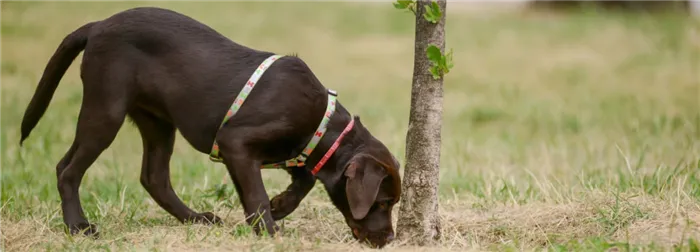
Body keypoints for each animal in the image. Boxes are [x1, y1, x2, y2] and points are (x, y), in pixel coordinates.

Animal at [20, 6, 400, 248]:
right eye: (382, 203)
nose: (390, 239)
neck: (323, 125)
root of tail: (97, 25)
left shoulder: (280, 153)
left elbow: (300, 179)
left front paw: (278, 207)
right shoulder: (236, 142)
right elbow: (258, 194)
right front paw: (270, 230)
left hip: (157, 122)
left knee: (153, 177)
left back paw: (194, 219)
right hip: (106, 109)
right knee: (67, 168)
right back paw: (78, 227)